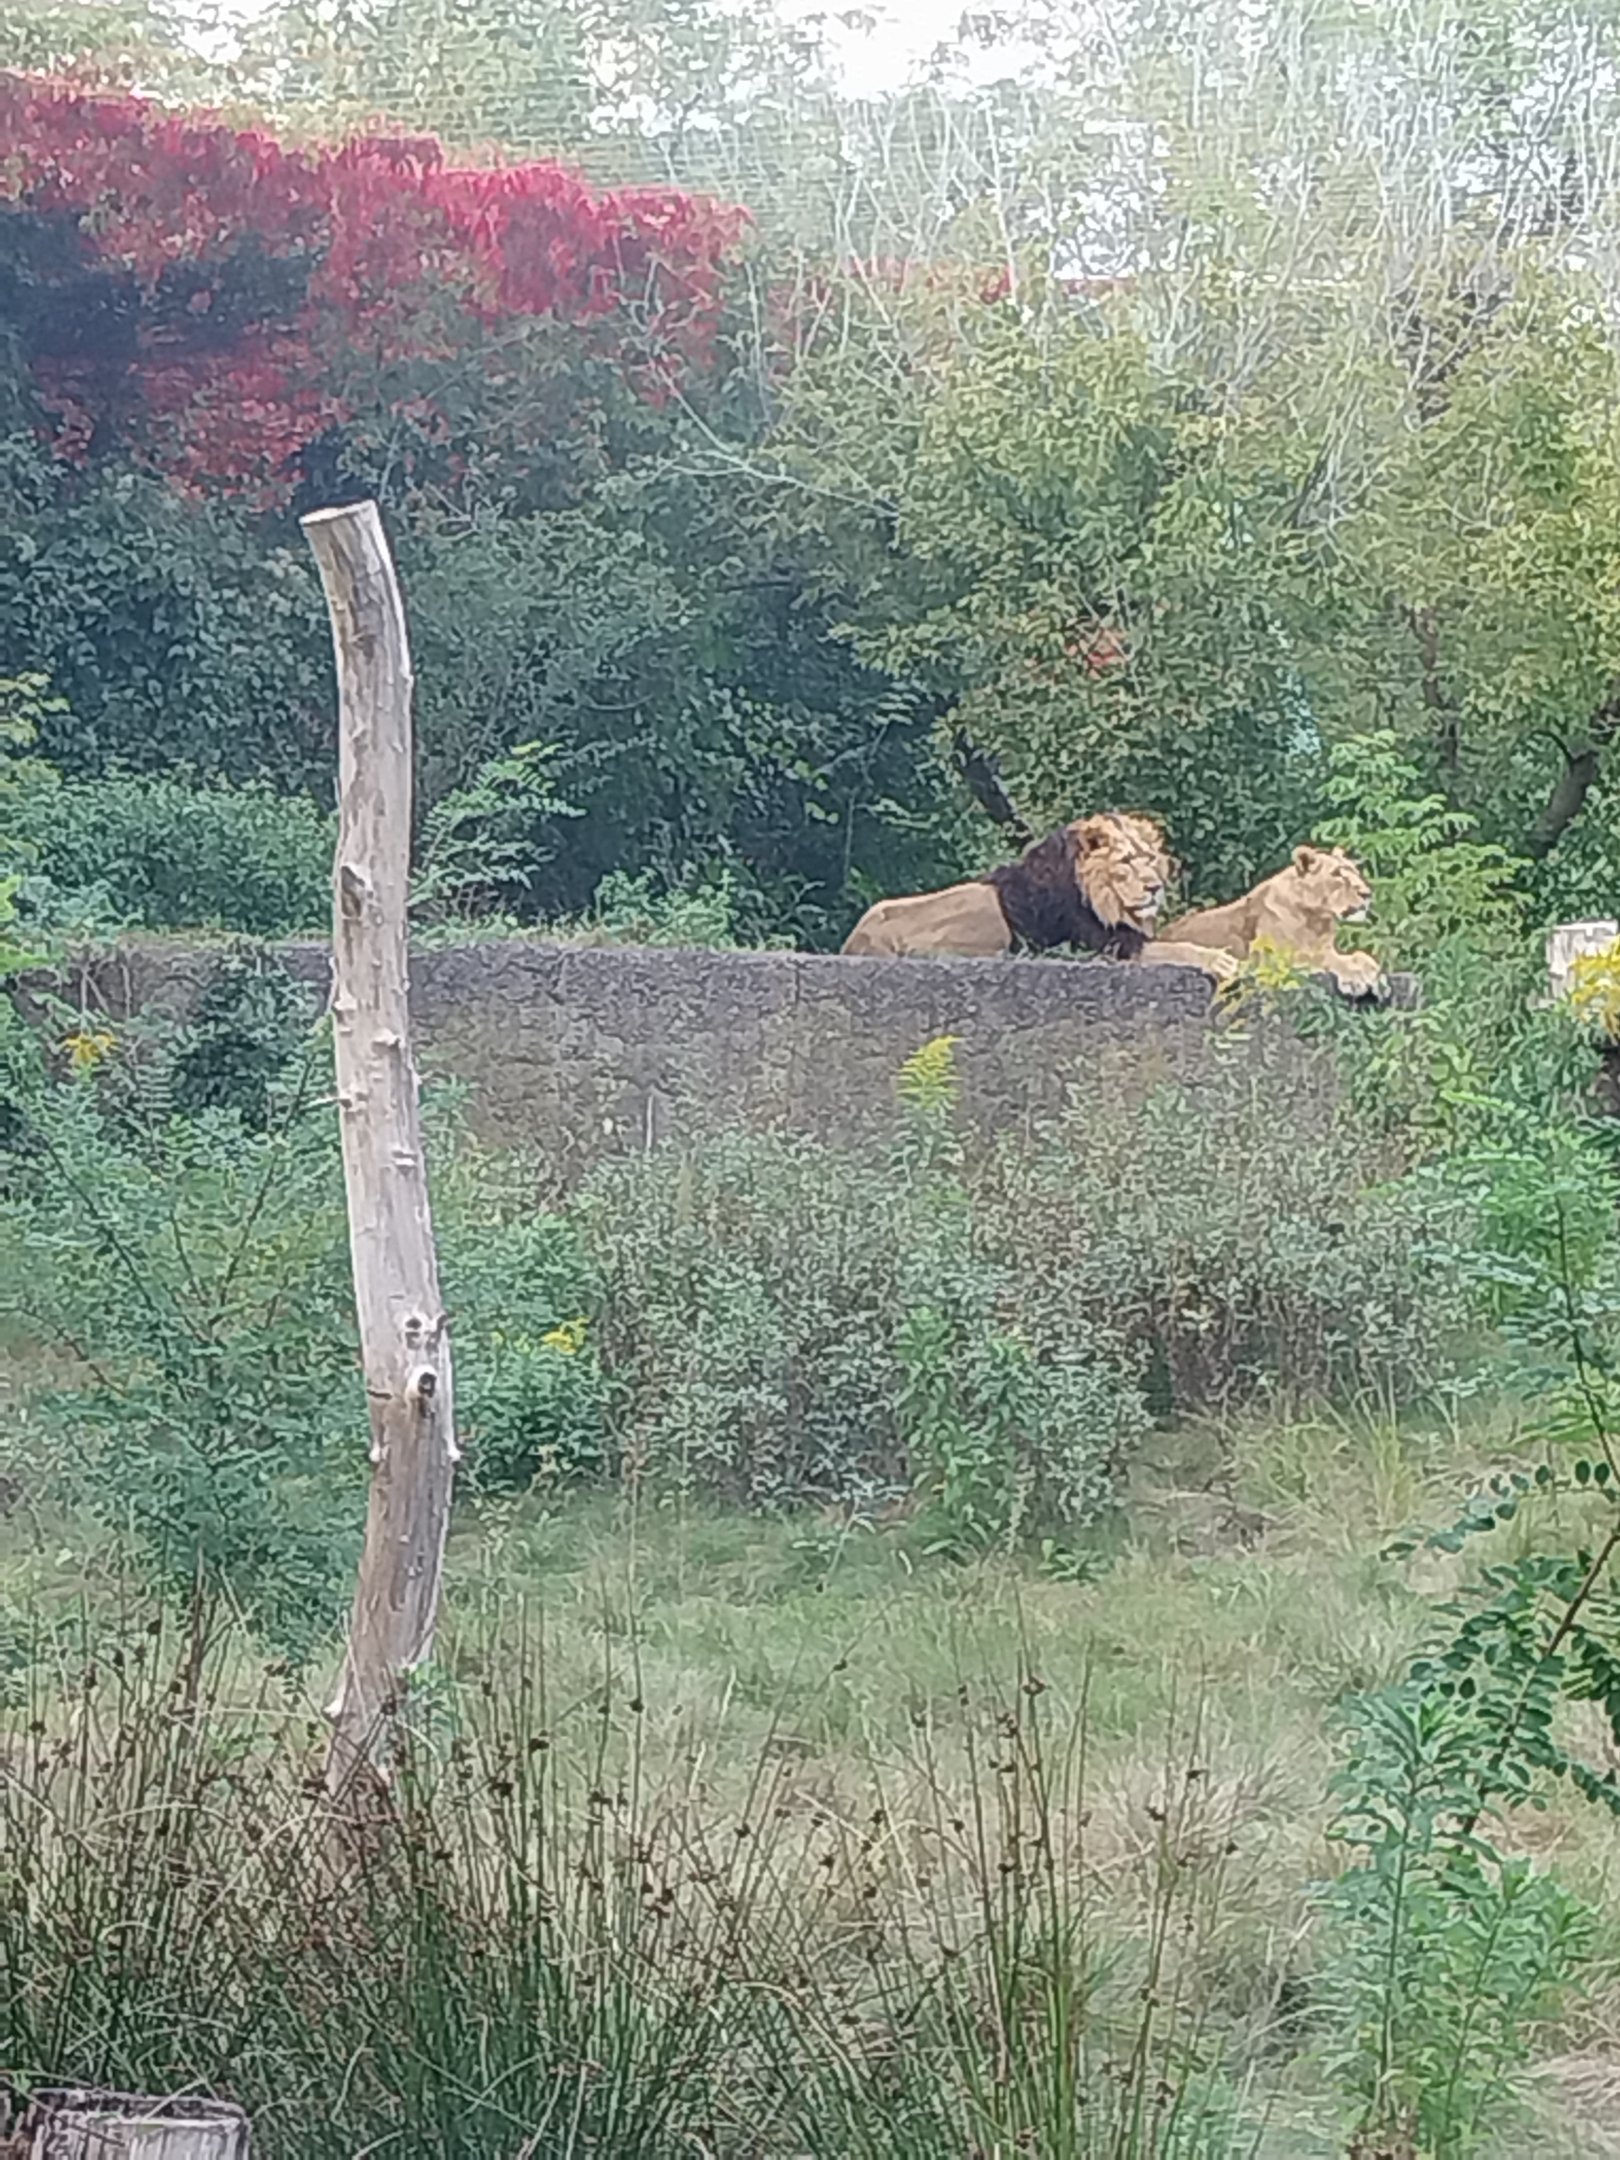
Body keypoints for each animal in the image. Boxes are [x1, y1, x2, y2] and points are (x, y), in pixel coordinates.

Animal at [840, 813, 1237, 981]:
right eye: (1126, 862)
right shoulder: (1099, 945)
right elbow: (1176, 948)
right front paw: (1223, 961)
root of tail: (853, 943)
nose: (1155, 887)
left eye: (1151, 859)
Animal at [1163, 844, 1389, 1000]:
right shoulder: (1276, 962)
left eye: (1355, 872)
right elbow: (1322, 960)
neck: (1318, 921)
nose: (1367, 894)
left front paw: (1376, 976)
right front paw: (1356, 977)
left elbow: (1361, 956)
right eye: (1337, 875)